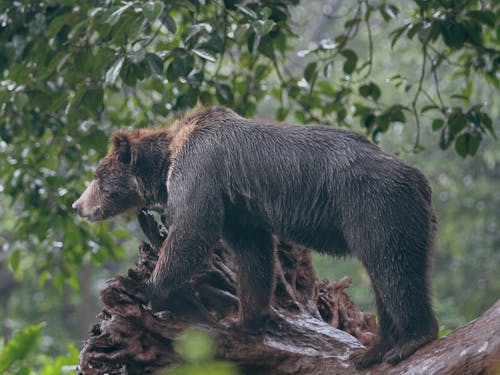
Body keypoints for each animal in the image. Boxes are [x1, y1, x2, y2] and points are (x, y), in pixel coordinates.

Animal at [71, 106, 438, 370]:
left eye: (97, 176)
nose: (78, 205)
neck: (168, 161)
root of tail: (420, 179)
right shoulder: (238, 208)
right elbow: (253, 255)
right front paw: (244, 319)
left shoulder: (202, 168)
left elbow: (193, 227)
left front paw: (141, 286)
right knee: (385, 276)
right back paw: (372, 351)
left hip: (374, 208)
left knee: (393, 269)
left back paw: (411, 340)